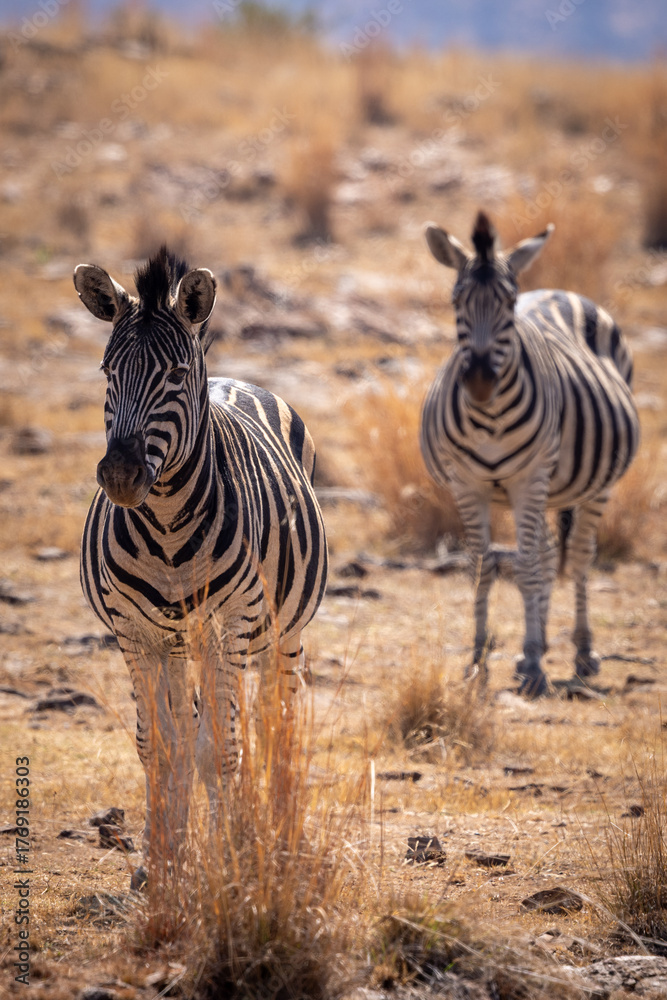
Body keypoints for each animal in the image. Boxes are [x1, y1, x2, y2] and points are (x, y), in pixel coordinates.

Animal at [74, 246, 328, 880]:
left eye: (175, 375)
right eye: (106, 373)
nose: (120, 475)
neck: (166, 522)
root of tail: (235, 382)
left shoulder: (227, 625)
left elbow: (223, 748)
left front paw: (229, 859)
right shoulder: (134, 631)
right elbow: (161, 747)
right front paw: (164, 862)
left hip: (282, 631)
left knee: (277, 721)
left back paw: (278, 833)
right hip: (177, 642)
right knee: (190, 729)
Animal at [420, 211, 639, 697]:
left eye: (509, 302)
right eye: (456, 300)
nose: (480, 381)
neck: (489, 416)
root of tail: (558, 290)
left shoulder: (529, 477)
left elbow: (524, 566)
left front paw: (537, 663)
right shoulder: (467, 482)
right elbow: (483, 565)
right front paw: (479, 659)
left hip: (589, 485)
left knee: (577, 554)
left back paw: (580, 653)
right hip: (544, 488)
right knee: (545, 552)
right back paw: (529, 651)